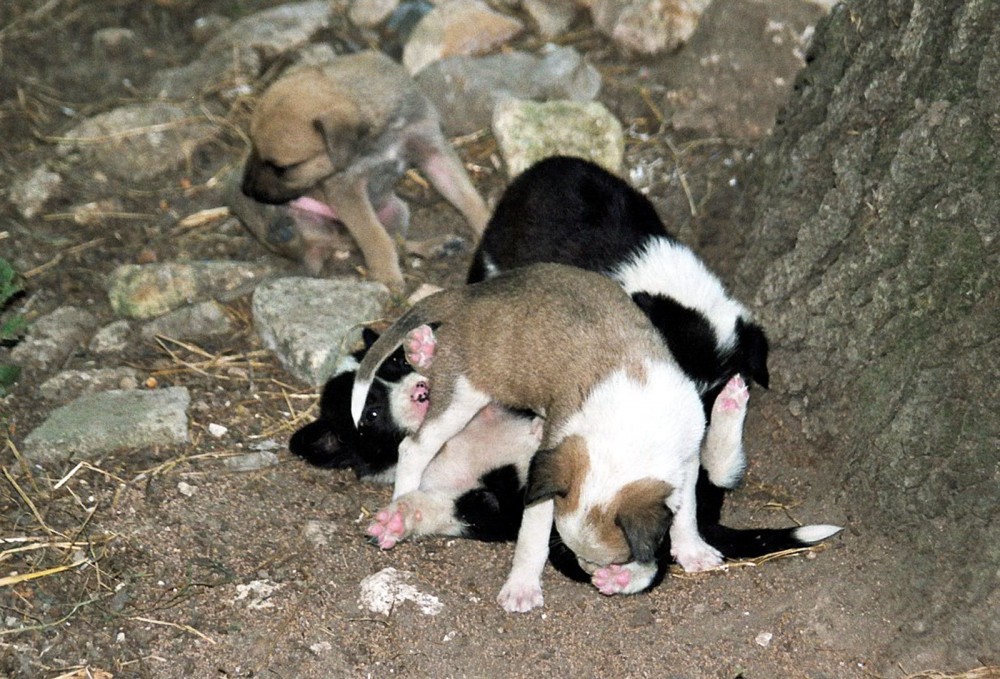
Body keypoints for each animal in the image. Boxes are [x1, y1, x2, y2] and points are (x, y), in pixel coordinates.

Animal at [242, 49, 492, 290]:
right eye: (251, 145)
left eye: (283, 168)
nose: (246, 190)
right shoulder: (347, 189)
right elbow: (374, 236)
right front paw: (387, 276)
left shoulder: (434, 153)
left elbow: (468, 198)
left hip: (398, 210)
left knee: (398, 242)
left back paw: (437, 246)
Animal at [354, 262, 728, 612]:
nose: (588, 573)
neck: (630, 433)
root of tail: (470, 293)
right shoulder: (546, 478)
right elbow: (532, 538)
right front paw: (522, 588)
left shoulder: (687, 458)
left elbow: (687, 511)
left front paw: (692, 551)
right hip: (460, 397)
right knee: (414, 448)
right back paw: (399, 503)